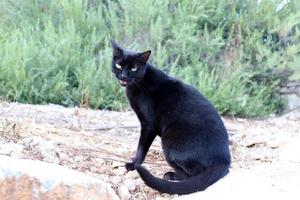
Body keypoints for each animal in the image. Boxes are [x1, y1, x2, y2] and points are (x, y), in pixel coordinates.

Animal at [111, 41, 231, 195]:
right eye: (119, 65)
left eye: (133, 68)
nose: (123, 75)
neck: (138, 85)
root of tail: (224, 159)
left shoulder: (148, 125)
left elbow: (141, 148)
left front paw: (133, 164)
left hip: (169, 142)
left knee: (193, 174)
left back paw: (171, 175)